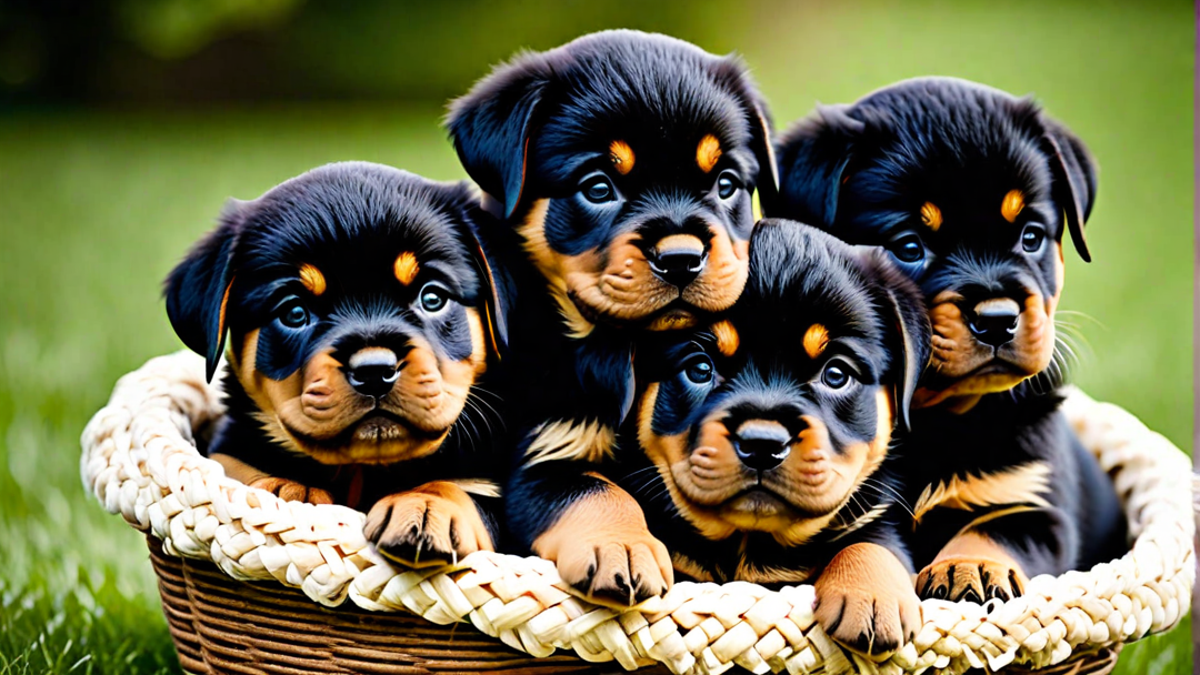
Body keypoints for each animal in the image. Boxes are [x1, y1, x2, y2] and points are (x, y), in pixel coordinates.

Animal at [163, 163, 506, 566]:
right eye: (294, 312)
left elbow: (463, 489)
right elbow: (237, 469)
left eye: (432, 298)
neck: (361, 468)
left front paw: (425, 508)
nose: (374, 372)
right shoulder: (229, 447)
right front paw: (288, 487)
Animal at [448, 28, 777, 600]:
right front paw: (621, 548)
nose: (682, 257)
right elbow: (598, 492)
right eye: (598, 186)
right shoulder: (549, 453)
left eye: (726, 183)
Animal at [624, 222, 931, 658]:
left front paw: (872, 597)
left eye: (836, 374)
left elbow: (875, 542)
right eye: (700, 368)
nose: (762, 444)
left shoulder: (876, 513)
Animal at [768, 77, 1123, 598]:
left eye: (1031, 236)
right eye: (909, 246)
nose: (998, 318)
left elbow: (992, 527)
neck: (935, 421)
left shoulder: (1034, 500)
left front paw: (972, 565)